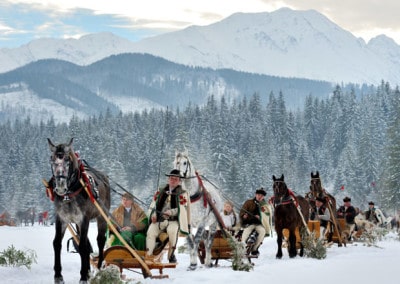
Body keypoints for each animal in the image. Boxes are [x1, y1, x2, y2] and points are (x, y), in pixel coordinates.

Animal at [48, 138, 111, 284]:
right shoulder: (62, 218)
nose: (60, 187)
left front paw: (83, 276)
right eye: (52, 159)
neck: (69, 194)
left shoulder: (84, 219)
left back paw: (98, 268)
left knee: (100, 240)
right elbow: (57, 243)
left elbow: (82, 246)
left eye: (67, 160)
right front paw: (58, 275)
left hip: (102, 216)